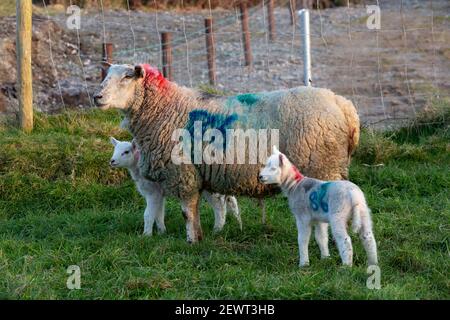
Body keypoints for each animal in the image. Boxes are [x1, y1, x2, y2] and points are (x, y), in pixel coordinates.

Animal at [109, 136, 243, 234]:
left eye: (126, 152)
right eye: (115, 150)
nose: (112, 161)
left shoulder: (153, 192)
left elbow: (148, 214)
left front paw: (146, 236)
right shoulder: (159, 194)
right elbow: (159, 213)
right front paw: (162, 232)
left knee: (220, 208)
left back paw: (217, 230)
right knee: (231, 201)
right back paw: (238, 223)